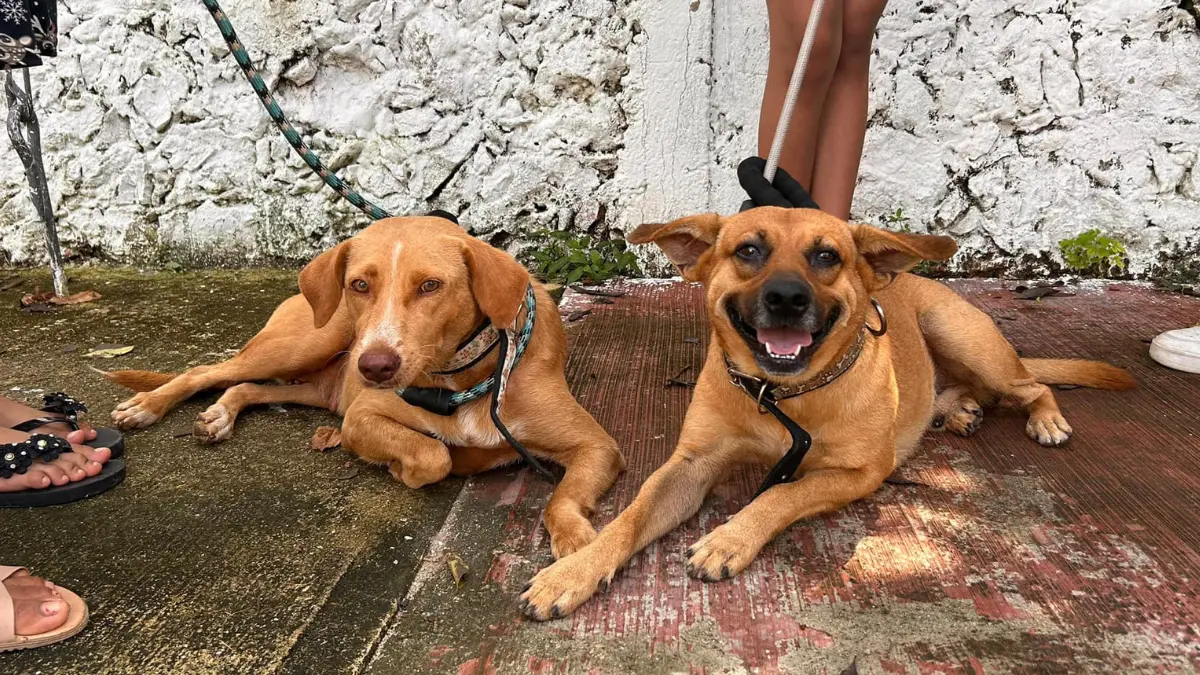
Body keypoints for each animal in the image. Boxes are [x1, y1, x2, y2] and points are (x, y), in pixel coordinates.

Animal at [109, 216, 628, 557]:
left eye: (430, 286)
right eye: (360, 285)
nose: (376, 366)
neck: (461, 375)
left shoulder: (598, 445)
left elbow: (562, 498)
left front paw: (578, 544)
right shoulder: (362, 419)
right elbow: (434, 454)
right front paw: (405, 468)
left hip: (319, 386)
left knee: (248, 389)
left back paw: (220, 415)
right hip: (308, 344)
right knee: (206, 371)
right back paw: (147, 406)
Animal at [518, 207, 1132, 619]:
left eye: (826, 256)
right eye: (748, 251)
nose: (787, 298)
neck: (782, 397)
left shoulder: (861, 472)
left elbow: (782, 494)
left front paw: (729, 537)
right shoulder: (689, 467)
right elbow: (630, 518)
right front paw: (572, 572)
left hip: (963, 337)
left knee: (1029, 384)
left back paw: (1043, 418)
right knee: (965, 390)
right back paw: (959, 411)